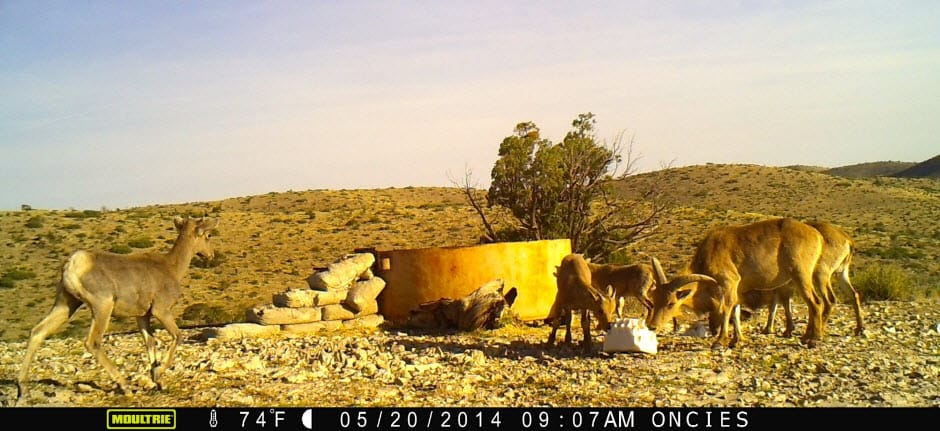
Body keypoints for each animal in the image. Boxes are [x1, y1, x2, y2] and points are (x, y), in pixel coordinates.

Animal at [18, 216, 218, 402]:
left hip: (66, 304)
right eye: (208, 236)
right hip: (102, 307)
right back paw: (126, 387)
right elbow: (177, 336)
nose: (211, 255)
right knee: (92, 342)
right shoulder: (161, 311)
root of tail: (73, 264)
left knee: (38, 332)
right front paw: (158, 374)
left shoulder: (142, 317)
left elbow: (150, 343)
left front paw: (157, 381)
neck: (172, 267)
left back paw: (23, 390)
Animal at [644, 218, 828, 350]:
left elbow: (727, 308)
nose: (652, 326)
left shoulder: (728, 282)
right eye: (655, 300)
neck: (710, 252)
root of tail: (817, 235)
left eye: (671, 303)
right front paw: (736, 340)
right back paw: (805, 337)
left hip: (800, 274)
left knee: (816, 302)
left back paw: (814, 339)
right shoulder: (737, 288)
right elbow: (736, 311)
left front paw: (719, 341)